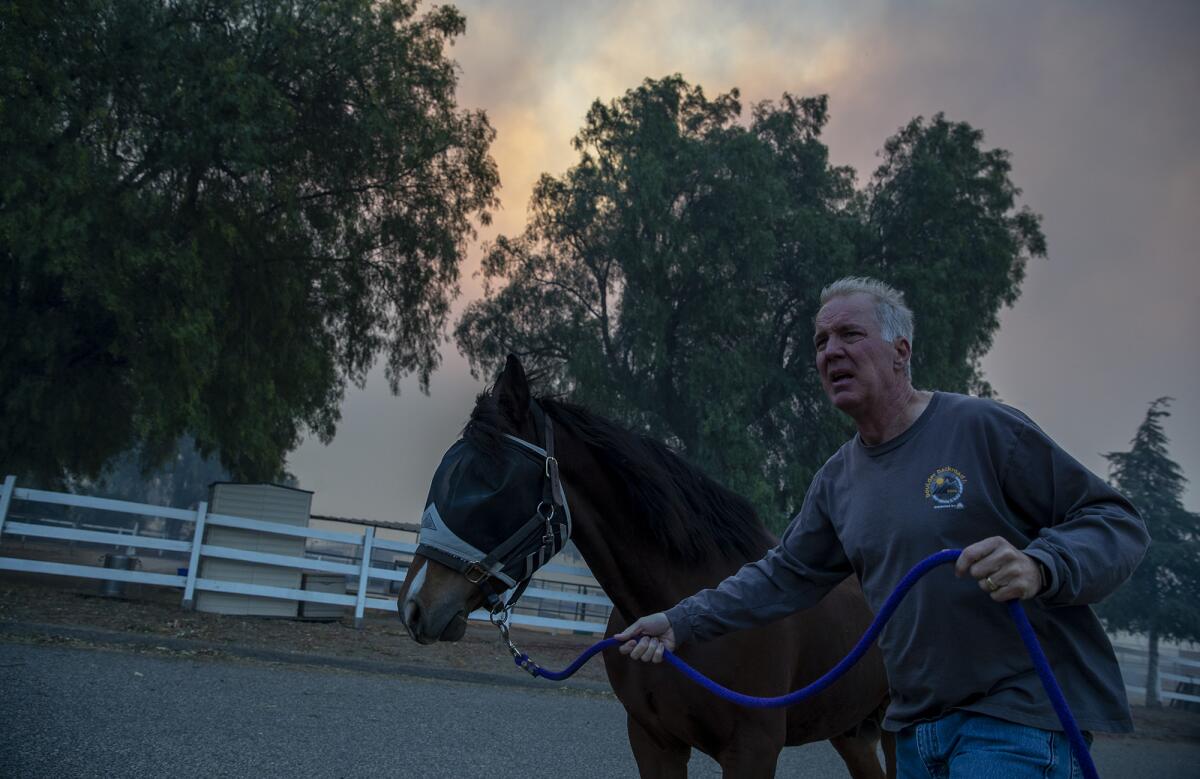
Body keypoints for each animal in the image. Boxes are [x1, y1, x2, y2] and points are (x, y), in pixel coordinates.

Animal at [396, 355, 892, 772]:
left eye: (489, 482)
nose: (414, 606)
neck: (684, 604)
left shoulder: (753, 749)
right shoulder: (653, 742)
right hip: (853, 731)